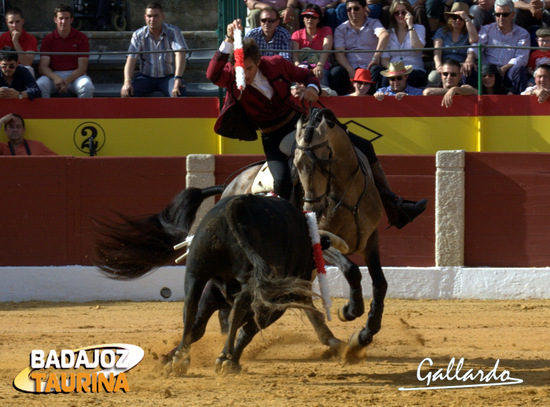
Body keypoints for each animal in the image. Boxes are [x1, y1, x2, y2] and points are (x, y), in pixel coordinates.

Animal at [95, 186, 338, 374]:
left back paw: (181, 358)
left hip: (196, 270)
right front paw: (230, 360)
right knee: (238, 309)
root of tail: (237, 206)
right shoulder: (278, 303)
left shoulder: (213, 292)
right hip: (256, 284)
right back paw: (224, 359)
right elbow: (247, 328)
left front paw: (168, 359)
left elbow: (201, 327)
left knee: (191, 307)